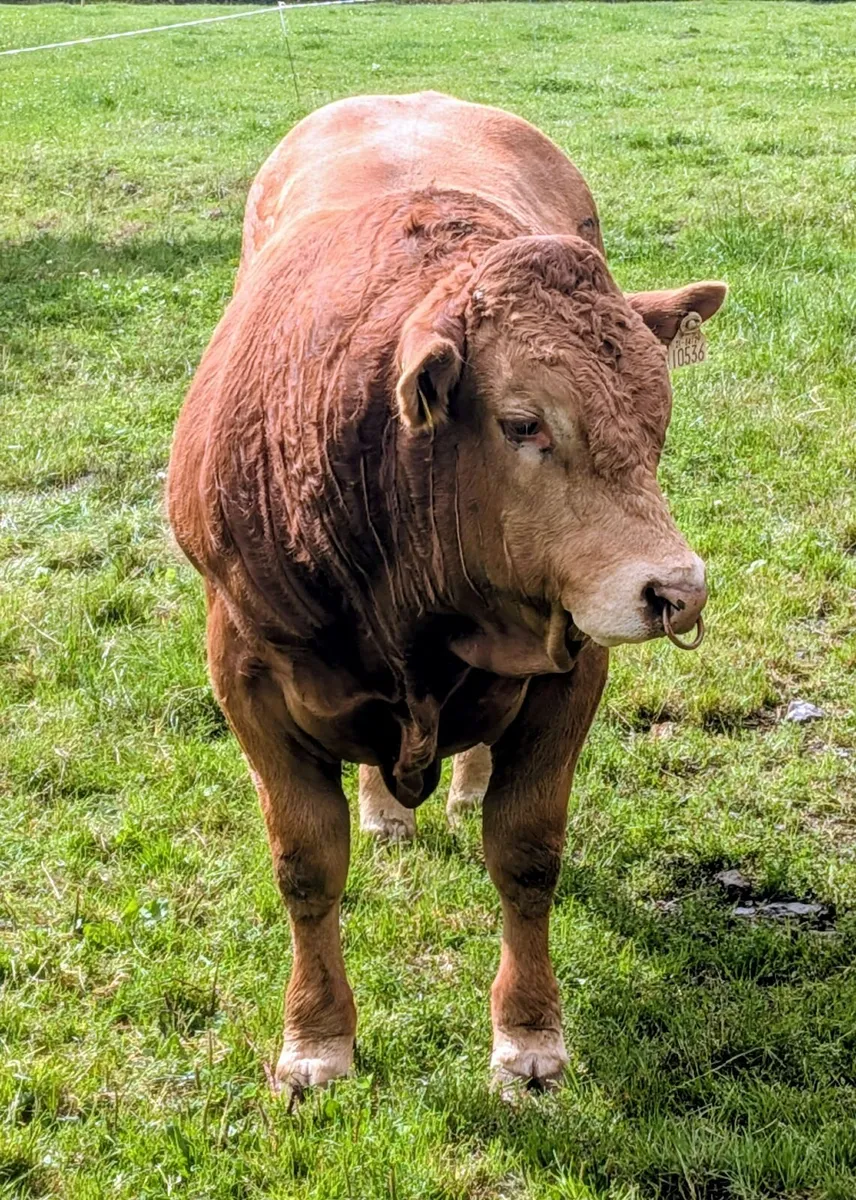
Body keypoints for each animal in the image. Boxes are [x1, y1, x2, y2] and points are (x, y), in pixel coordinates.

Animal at [168, 91, 725, 1096]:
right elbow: (305, 865)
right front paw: (317, 1042)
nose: (676, 589)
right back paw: (386, 813)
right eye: (523, 422)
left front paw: (529, 1039)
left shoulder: (571, 662)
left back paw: (461, 793)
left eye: (657, 417)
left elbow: (527, 854)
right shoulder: (245, 673)